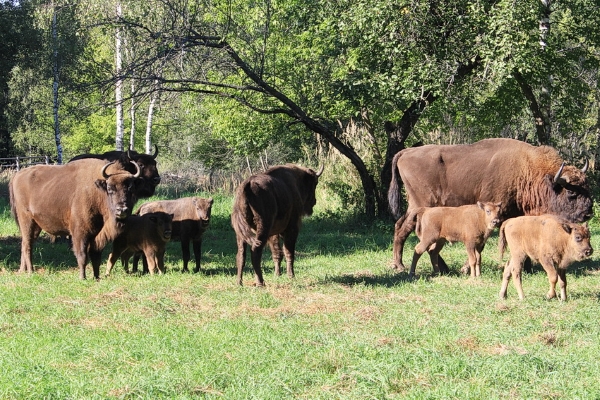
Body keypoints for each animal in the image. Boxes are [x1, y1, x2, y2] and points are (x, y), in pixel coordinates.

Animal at [9, 158, 143, 280]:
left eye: (131, 189)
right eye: (110, 189)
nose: (122, 210)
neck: (96, 191)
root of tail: (17, 176)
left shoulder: (97, 235)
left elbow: (96, 256)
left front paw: (97, 277)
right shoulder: (80, 233)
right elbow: (82, 256)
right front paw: (82, 278)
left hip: (36, 225)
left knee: (25, 243)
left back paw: (22, 270)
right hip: (26, 220)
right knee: (27, 245)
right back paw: (31, 271)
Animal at [386, 138, 592, 272]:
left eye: (586, 185)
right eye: (572, 192)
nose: (588, 212)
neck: (526, 170)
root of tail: (406, 152)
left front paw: (527, 267)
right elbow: (481, 245)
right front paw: (466, 268)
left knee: (402, 227)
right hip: (422, 203)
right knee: (407, 229)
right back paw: (401, 266)